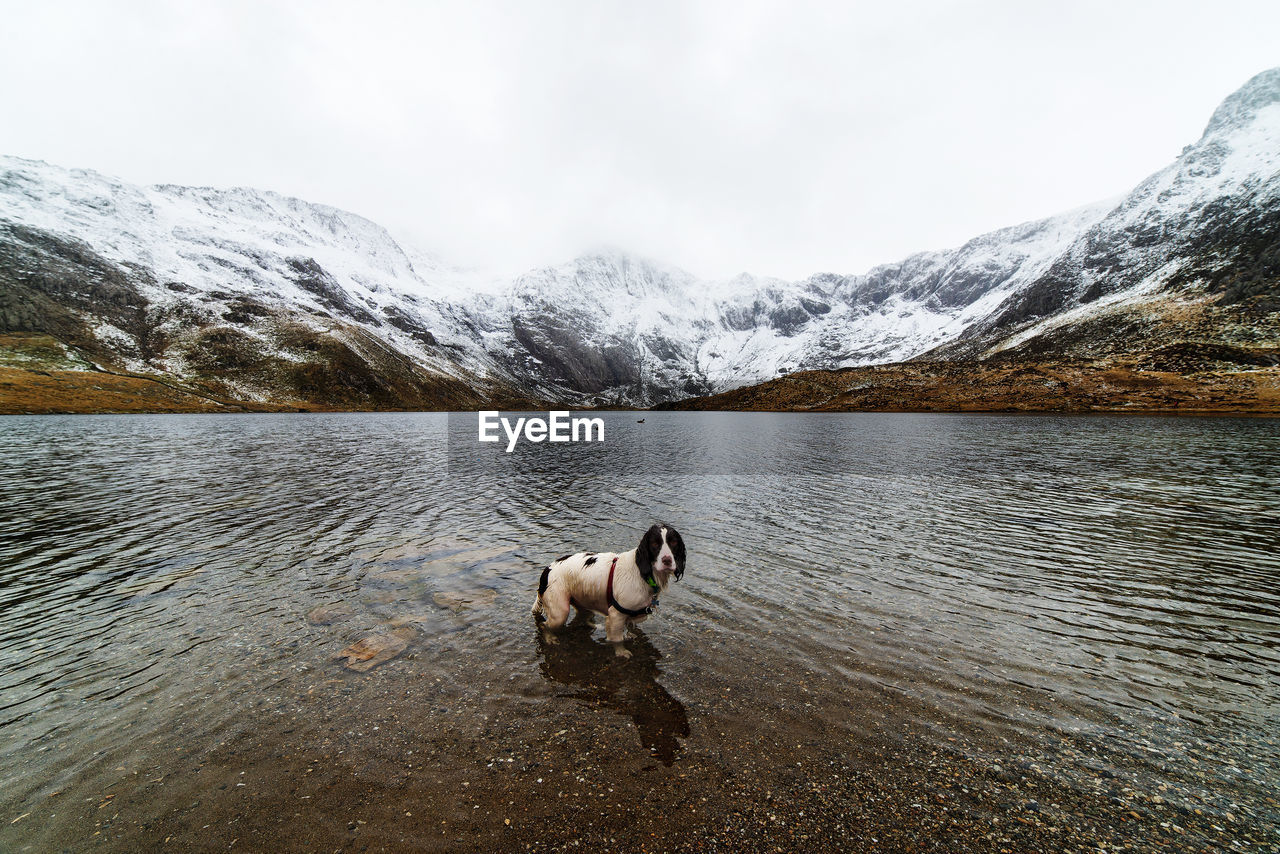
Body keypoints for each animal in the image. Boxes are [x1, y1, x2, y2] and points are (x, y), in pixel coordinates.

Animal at [532, 524, 691, 660]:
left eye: (674, 543)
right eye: (654, 544)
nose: (667, 560)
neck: (642, 573)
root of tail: (547, 569)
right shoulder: (616, 615)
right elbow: (617, 640)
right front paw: (622, 652)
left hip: (582, 602)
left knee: (582, 616)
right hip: (560, 611)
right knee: (545, 625)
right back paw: (550, 638)